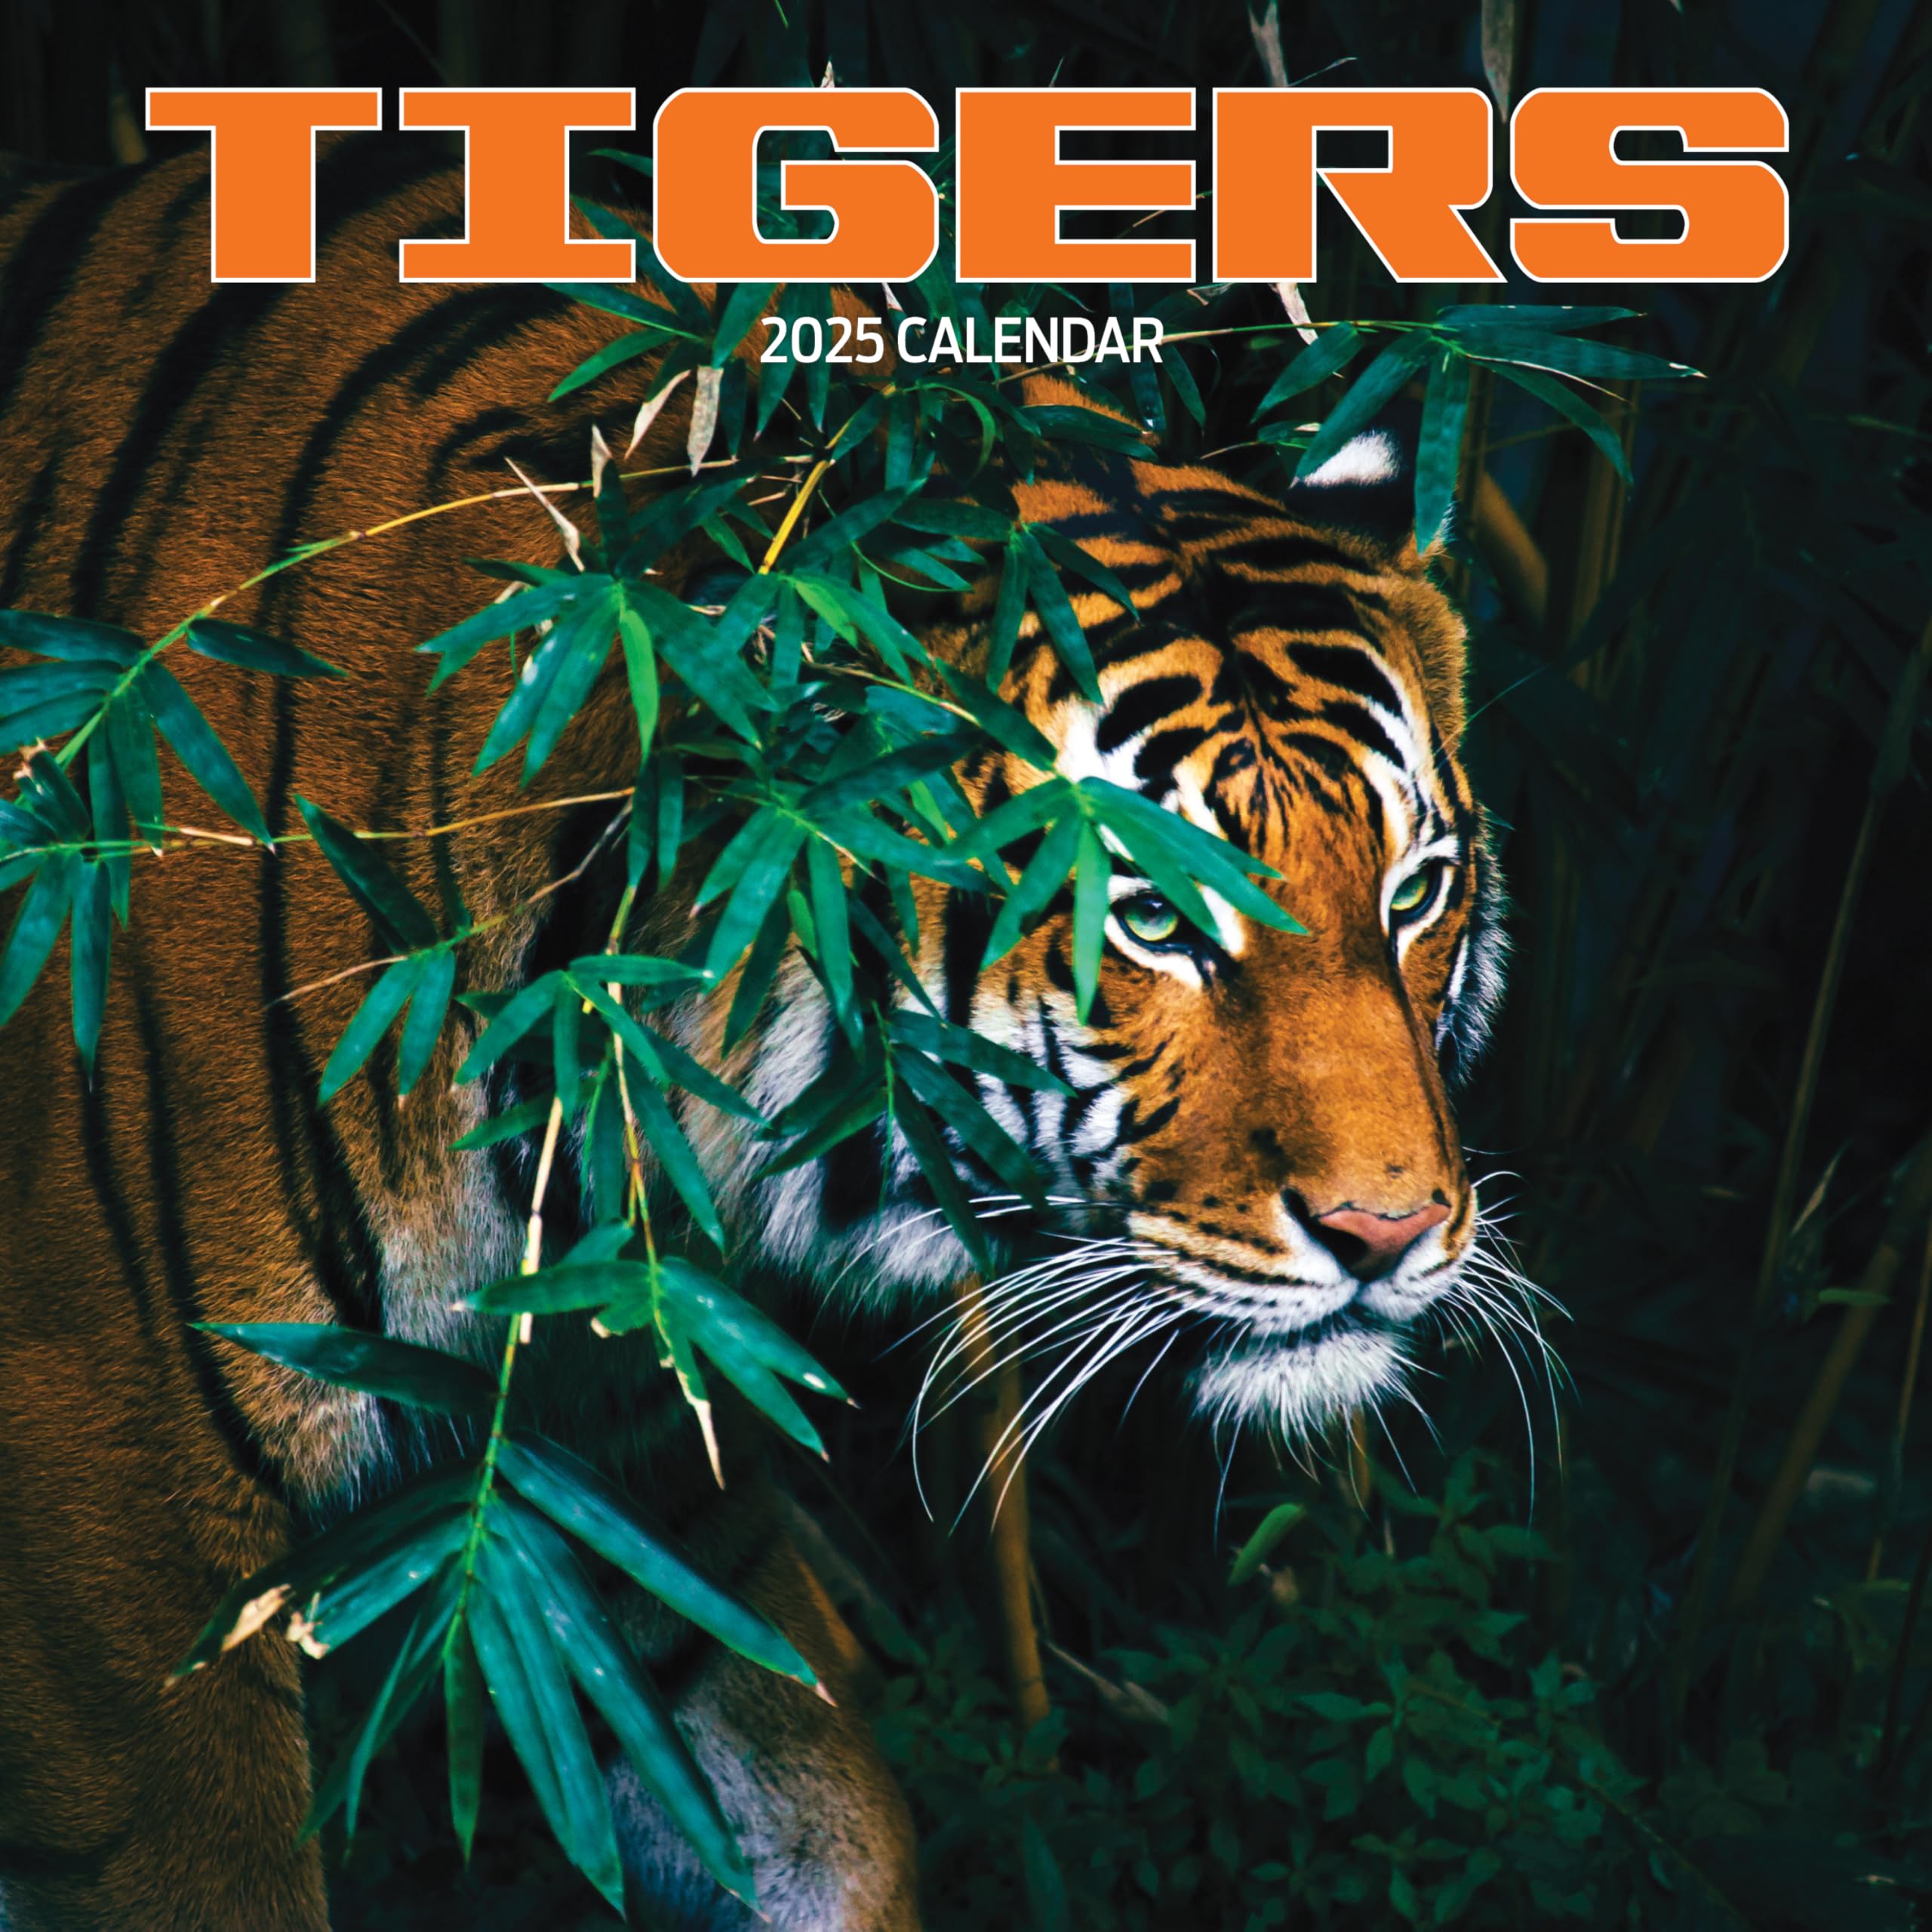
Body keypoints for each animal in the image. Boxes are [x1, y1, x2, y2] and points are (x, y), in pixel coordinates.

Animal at [0, 139, 1503, 1932]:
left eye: (1416, 889)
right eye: (1141, 914)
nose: (1390, 1232)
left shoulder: (619, 1468)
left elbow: (814, 1813)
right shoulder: (112, 1568)